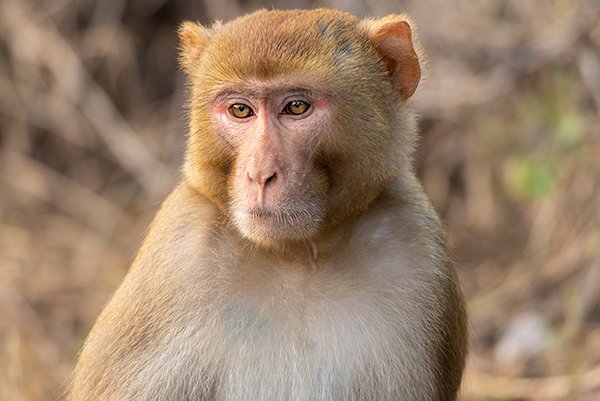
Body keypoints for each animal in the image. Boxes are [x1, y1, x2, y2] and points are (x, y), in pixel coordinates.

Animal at [70, 7, 468, 400]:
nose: (260, 174)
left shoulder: (414, 247)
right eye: (240, 110)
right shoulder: (176, 256)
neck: (300, 254)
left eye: (296, 107)